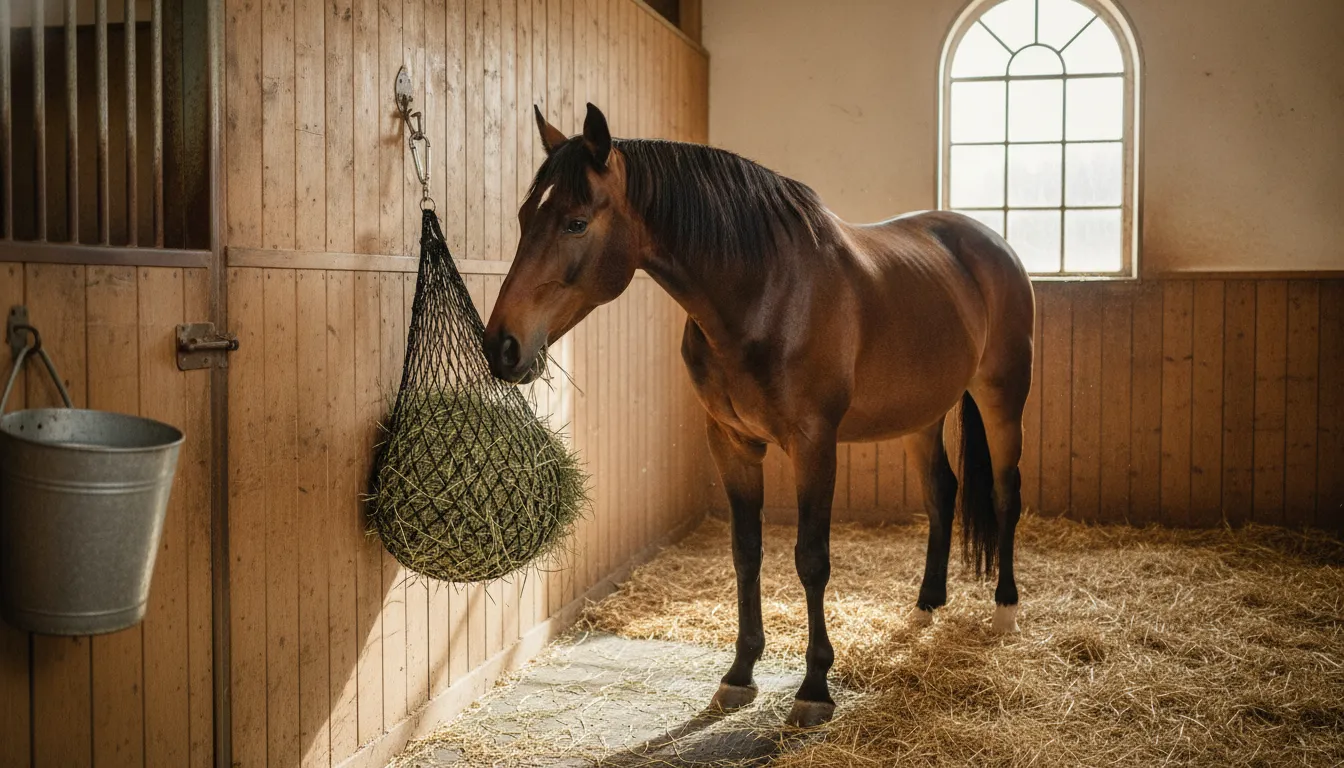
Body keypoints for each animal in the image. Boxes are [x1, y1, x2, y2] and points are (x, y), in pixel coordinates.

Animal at [485, 103, 1036, 728]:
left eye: (576, 223)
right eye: (526, 215)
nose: (501, 346)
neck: (766, 294)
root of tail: (987, 242)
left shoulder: (814, 444)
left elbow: (811, 559)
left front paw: (815, 687)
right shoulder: (731, 442)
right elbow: (746, 553)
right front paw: (739, 674)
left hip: (1002, 396)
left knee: (1005, 494)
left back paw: (1005, 610)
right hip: (922, 415)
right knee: (941, 494)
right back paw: (925, 607)